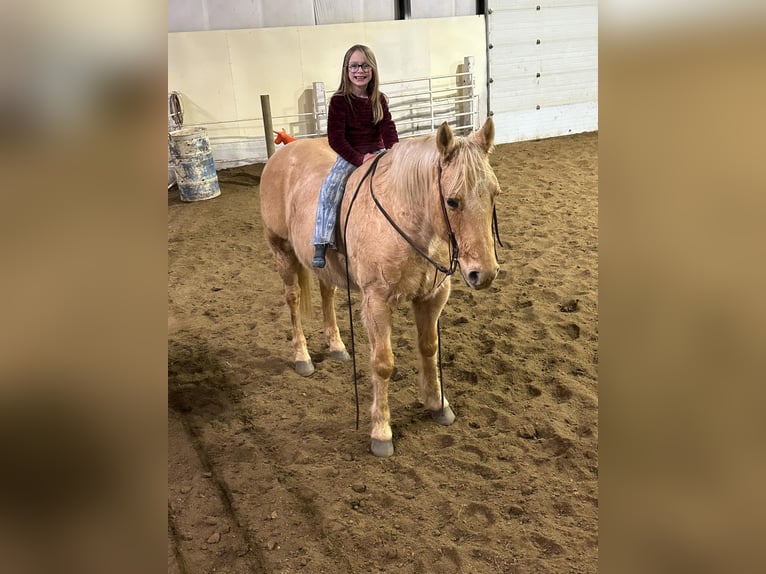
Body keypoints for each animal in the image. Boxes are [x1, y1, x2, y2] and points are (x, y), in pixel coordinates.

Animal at [258, 118, 500, 460]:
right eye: (452, 201)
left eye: (494, 194)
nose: (485, 273)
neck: (407, 219)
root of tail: (283, 153)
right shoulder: (376, 303)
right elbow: (383, 364)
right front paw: (381, 432)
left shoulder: (432, 296)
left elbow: (429, 348)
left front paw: (437, 405)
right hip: (281, 251)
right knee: (292, 300)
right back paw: (302, 357)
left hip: (323, 265)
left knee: (327, 295)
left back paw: (337, 346)